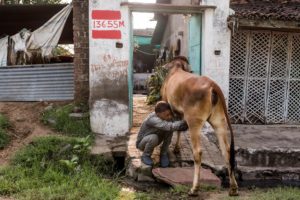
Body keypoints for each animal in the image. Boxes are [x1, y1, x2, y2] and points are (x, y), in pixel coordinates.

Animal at [161, 55, 238, 195]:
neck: (176, 68)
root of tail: (212, 85)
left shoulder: (166, 102)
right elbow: (178, 129)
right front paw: (176, 148)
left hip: (194, 122)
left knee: (198, 152)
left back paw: (194, 188)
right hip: (219, 121)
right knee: (226, 151)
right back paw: (233, 188)